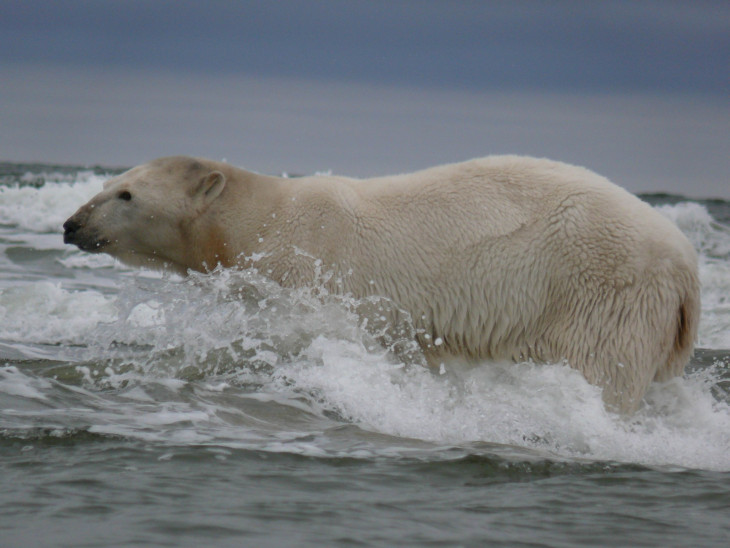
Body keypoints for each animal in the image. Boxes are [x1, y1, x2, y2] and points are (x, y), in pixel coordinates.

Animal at [64, 154, 700, 412]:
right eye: (110, 183)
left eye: (126, 194)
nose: (71, 225)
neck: (263, 217)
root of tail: (688, 267)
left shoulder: (317, 271)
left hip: (602, 288)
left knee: (602, 370)